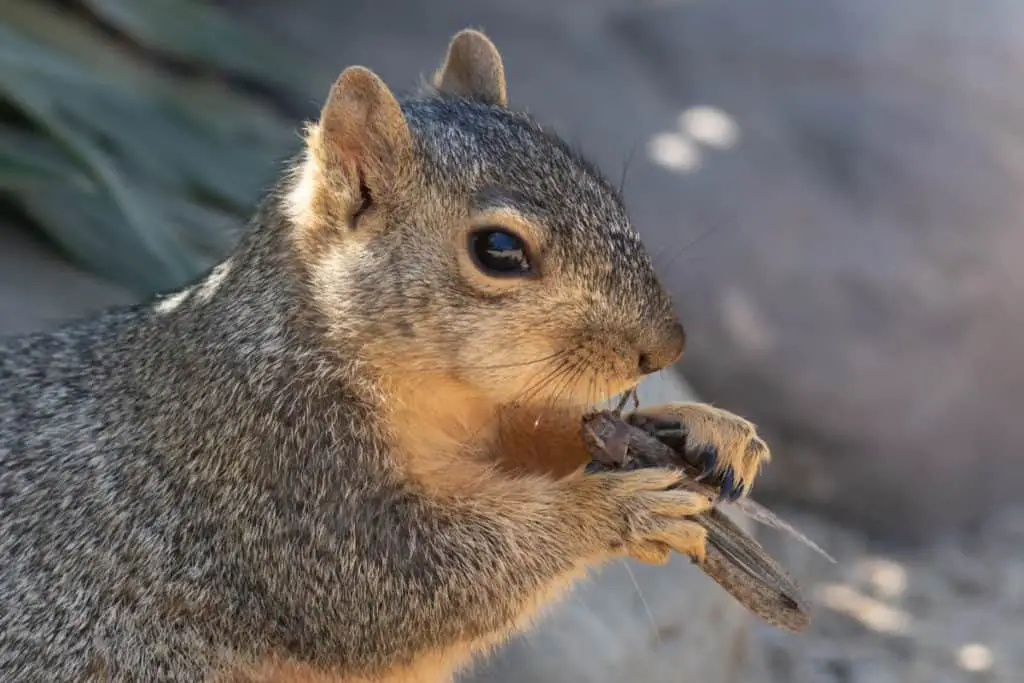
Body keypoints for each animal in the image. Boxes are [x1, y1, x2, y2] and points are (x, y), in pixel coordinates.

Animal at [0, 28, 770, 683]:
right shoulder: (276, 474)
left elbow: (542, 429)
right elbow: (402, 583)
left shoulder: (483, 417)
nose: (665, 347)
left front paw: (700, 424)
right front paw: (612, 506)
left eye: (604, 190)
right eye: (498, 249)